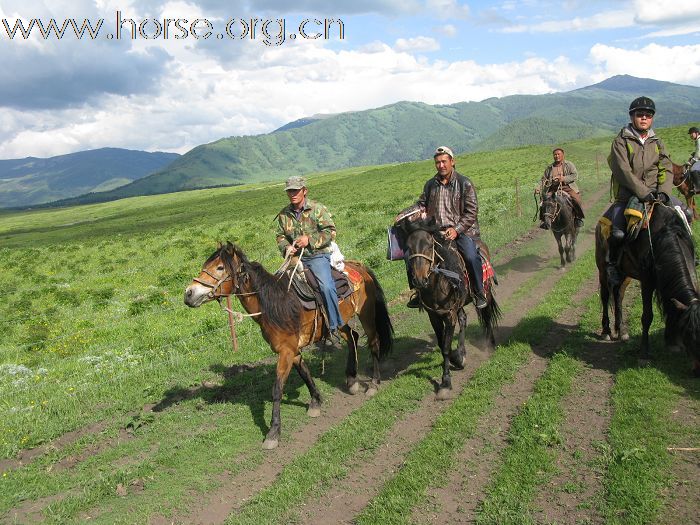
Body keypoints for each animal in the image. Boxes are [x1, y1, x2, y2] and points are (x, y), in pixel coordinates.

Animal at [185, 244, 394, 448]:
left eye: (220, 267)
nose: (188, 293)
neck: (275, 305)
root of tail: (359, 266)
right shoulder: (292, 350)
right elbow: (305, 373)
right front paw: (315, 402)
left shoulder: (286, 351)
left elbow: (277, 390)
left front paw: (273, 432)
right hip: (339, 320)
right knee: (353, 337)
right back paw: (351, 380)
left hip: (366, 314)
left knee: (373, 343)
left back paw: (373, 384)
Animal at [596, 202, 700, 376]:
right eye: (689, 334)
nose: (697, 370)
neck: (664, 237)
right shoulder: (647, 281)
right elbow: (647, 316)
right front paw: (644, 354)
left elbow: (671, 305)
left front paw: (672, 343)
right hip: (603, 269)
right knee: (605, 296)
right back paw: (606, 331)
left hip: (625, 274)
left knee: (618, 295)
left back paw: (621, 330)